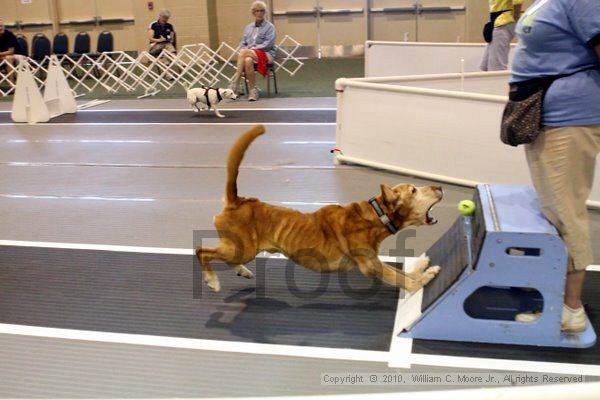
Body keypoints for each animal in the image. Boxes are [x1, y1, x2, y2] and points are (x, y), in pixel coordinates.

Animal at [195, 126, 442, 292]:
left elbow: (405, 273)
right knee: (202, 251)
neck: (376, 215)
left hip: (240, 249)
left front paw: (421, 268)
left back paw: (242, 271)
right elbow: (405, 281)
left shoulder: (375, 260)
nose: (439, 186)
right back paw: (212, 280)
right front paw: (425, 278)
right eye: (413, 190)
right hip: (242, 248)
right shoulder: (371, 265)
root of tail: (238, 200)